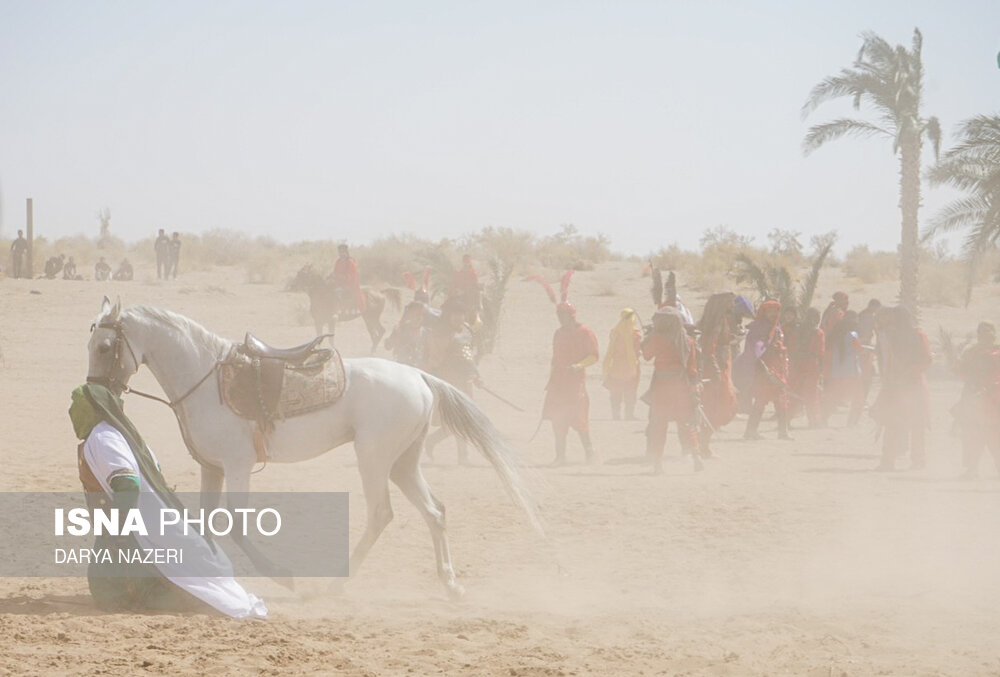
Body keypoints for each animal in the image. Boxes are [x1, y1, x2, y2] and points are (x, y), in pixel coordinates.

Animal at [86, 296, 540, 596]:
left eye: (105, 347)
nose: (94, 390)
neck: (205, 377)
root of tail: (419, 376)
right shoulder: (212, 467)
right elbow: (206, 521)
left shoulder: (237, 465)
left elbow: (234, 522)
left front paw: (279, 574)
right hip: (403, 462)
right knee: (435, 512)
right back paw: (449, 583)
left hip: (374, 459)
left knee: (382, 514)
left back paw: (337, 583)